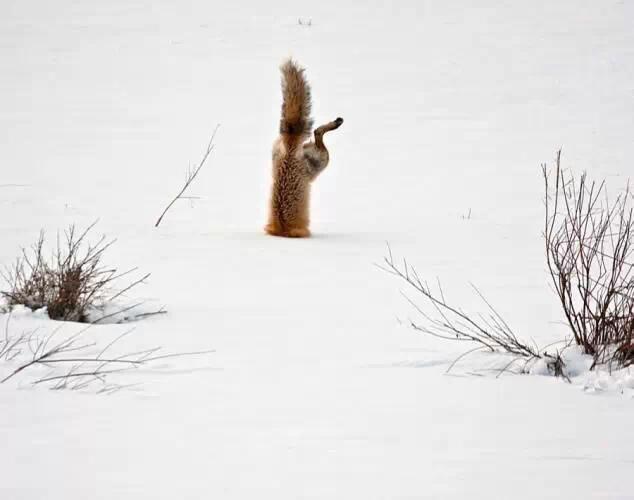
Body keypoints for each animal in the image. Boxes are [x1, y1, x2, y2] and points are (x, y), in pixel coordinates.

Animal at [262, 58, 344, 238]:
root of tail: (290, 144)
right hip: (322, 162)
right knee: (317, 131)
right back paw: (335, 123)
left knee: (317, 132)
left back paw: (335, 123)